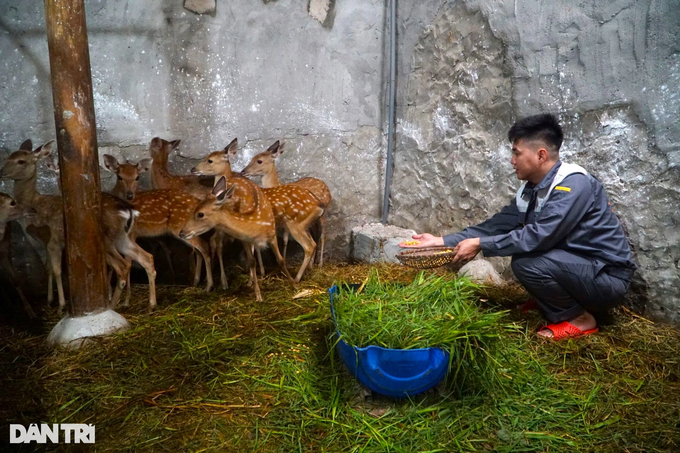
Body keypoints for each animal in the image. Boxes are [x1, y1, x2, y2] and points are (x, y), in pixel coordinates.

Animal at [102, 153, 214, 300]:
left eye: (137, 177)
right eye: (119, 176)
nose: (129, 194)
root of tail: (196, 201)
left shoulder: (132, 233)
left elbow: (129, 263)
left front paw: (126, 298)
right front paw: (111, 294)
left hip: (180, 228)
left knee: (203, 246)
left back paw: (208, 286)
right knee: (198, 249)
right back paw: (195, 282)